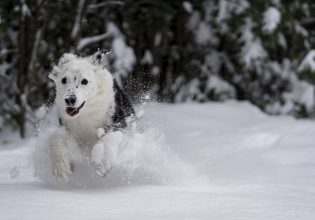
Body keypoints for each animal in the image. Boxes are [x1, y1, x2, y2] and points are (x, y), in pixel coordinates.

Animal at [48, 51, 135, 182]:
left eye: (84, 81)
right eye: (64, 80)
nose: (69, 99)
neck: (86, 113)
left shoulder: (118, 123)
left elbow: (105, 140)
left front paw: (101, 162)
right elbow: (55, 138)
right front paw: (61, 169)